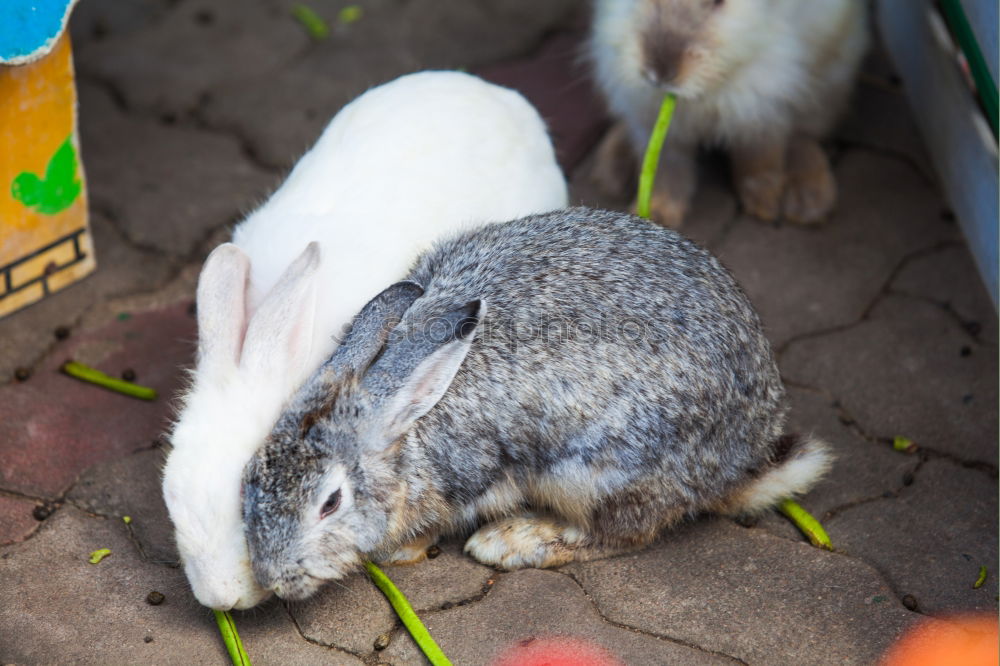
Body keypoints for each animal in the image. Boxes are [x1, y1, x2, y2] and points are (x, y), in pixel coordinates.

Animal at [242, 206, 828, 596]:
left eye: (330, 503)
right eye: (250, 478)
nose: (274, 579)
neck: (403, 421)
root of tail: (743, 461)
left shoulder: (474, 473)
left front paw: (401, 550)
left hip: (598, 474)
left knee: (624, 534)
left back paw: (513, 541)